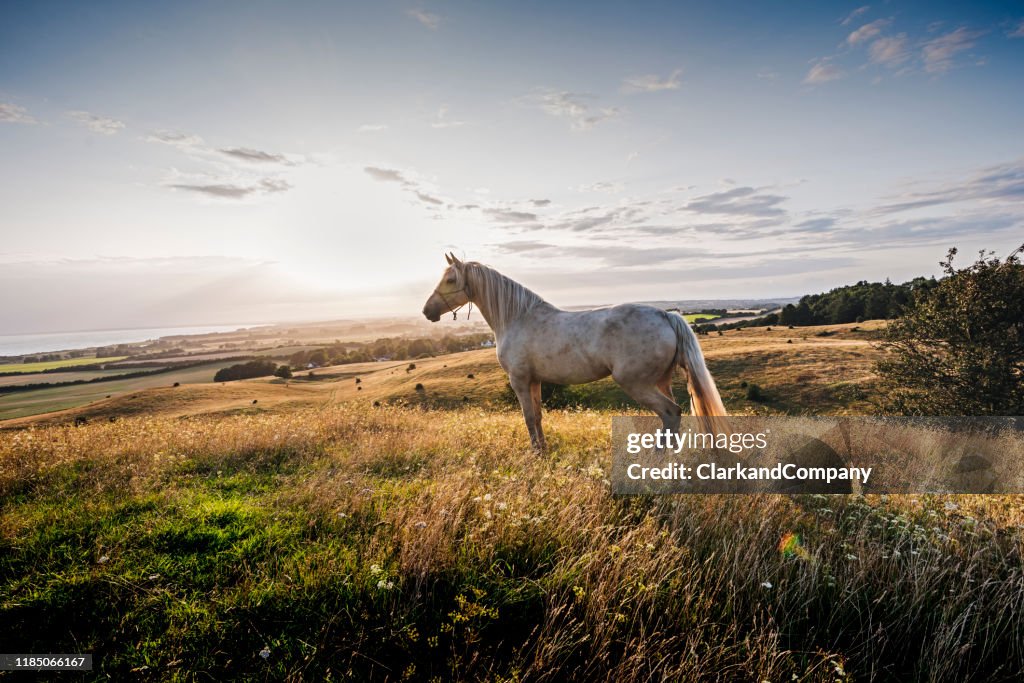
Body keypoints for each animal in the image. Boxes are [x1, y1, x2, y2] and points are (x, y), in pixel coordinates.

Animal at [417, 253, 729, 450]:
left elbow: (528, 418)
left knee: (671, 413)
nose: (426, 311)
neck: (517, 317)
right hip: (661, 381)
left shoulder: (519, 380)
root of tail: (666, 315)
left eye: (450, 280)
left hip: (636, 383)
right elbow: (538, 416)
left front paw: (534, 453)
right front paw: (543, 450)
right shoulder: (534, 381)